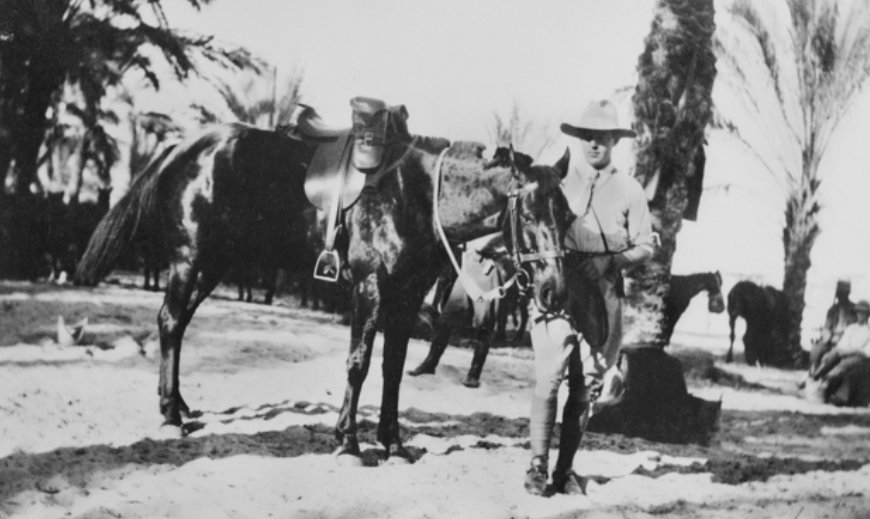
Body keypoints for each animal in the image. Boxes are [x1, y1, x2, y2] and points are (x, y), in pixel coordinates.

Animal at [76, 122, 318, 433]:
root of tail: (178, 149)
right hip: (188, 258)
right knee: (171, 319)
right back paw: (170, 413)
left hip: (213, 263)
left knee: (181, 320)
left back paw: (176, 402)